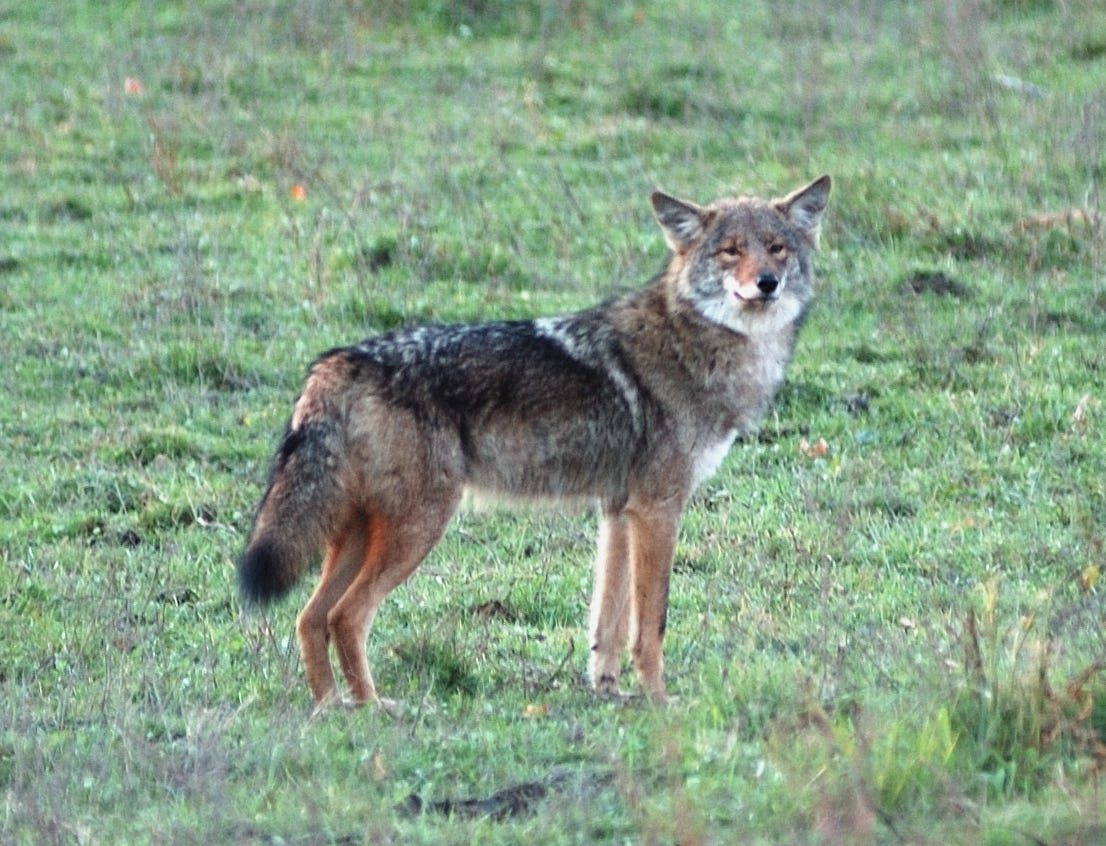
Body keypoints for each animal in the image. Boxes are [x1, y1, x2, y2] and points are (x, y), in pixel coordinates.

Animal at [238, 175, 831, 711]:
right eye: (731, 251)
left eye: (776, 247)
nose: (768, 282)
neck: (699, 346)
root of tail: (336, 362)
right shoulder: (658, 508)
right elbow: (651, 624)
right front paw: (661, 701)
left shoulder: (618, 511)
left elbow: (607, 622)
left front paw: (608, 692)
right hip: (418, 527)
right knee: (346, 616)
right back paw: (371, 709)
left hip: (361, 532)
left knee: (309, 617)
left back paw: (329, 708)